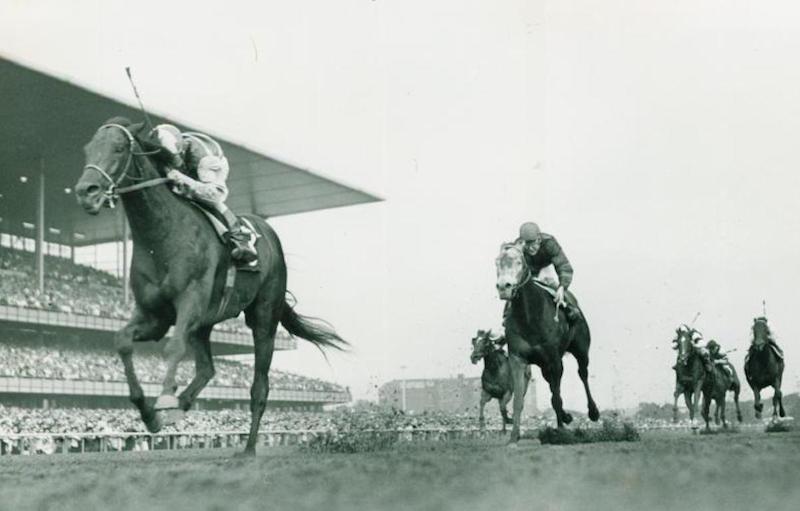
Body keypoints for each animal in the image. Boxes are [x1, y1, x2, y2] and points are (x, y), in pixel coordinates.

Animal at [75, 119, 346, 456]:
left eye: (118, 148)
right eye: (88, 148)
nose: (85, 192)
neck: (161, 236)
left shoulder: (190, 302)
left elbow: (174, 347)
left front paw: (164, 400)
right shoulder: (155, 317)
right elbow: (122, 341)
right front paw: (149, 412)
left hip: (263, 319)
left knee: (259, 386)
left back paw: (248, 448)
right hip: (205, 323)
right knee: (207, 369)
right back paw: (183, 404)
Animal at [494, 224, 600, 444]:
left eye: (519, 262)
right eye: (497, 262)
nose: (503, 287)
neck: (530, 318)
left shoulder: (554, 359)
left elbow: (557, 397)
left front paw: (561, 431)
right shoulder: (518, 359)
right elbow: (519, 400)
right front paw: (514, 437)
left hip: (581, 350)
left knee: (583, 374)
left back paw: (592, 412)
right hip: (544, 366)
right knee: (552, 385)